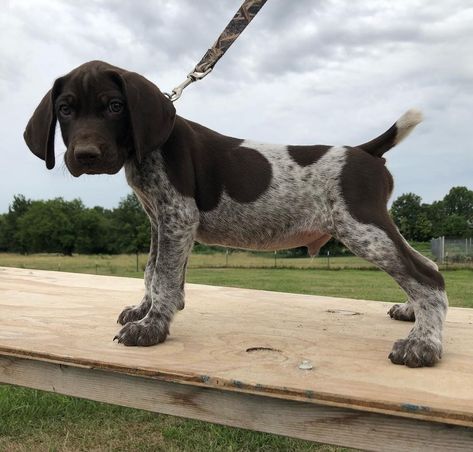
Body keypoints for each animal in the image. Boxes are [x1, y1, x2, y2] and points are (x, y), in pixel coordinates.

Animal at [24, 61, 446, 368]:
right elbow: (152, 270)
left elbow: (163, 277)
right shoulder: (161, 220)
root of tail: (364, 151)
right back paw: (413, 314)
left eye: (114, 106)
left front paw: (152, 328)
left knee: (428, 276)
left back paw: (424, 345)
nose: (86, 156)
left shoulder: (178, 216)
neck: (148, 150)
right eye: (65, 109)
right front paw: (144, 311)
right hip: (374, 225)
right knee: (425, 264)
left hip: (361, 226)